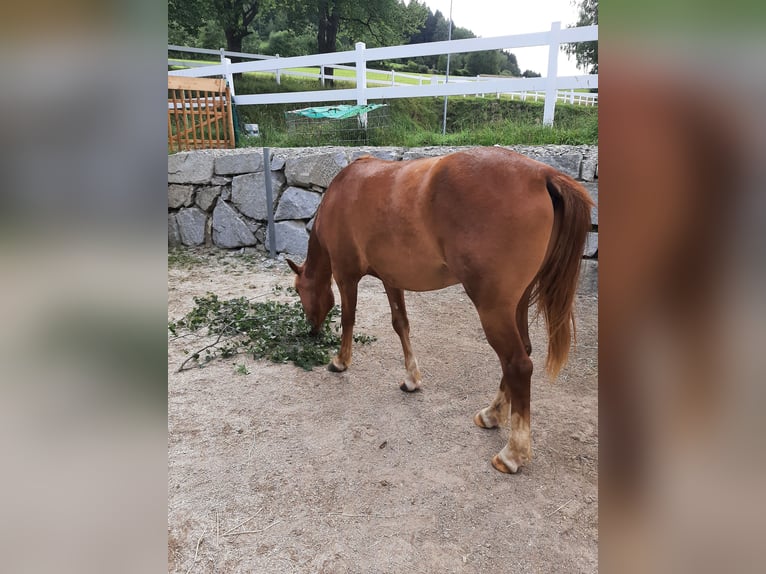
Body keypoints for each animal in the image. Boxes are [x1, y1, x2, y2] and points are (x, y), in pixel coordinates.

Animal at [288, 146, 592, 474]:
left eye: (299, 290)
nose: (312, 330)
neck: (342, 191)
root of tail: (543, 174)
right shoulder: (392, 279)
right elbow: (400, 323)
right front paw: (411, 379)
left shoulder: (346, 275)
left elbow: (349, 319)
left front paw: (340, 361)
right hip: (517, 302)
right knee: (522, 351)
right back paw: (492, 414)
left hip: (493, 308)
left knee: (518, 364)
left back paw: (512, 454)